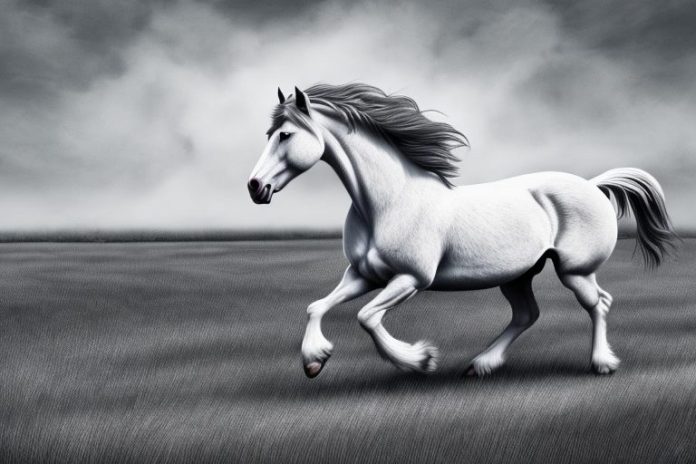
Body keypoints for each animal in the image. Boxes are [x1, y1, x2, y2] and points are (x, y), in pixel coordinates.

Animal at [247, 83, 676, 378]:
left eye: (285, 134)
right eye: (269, 135)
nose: (255, 187)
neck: (389, 202)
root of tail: (593, 184)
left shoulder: (411, 279)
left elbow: (367, 318)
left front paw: (421, 359)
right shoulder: (363, 275)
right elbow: (316, 306)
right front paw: (314, 361)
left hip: (575, 271)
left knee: (599, 304)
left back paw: (602, 363)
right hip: (517, 275)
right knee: (528, 314)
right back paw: (481, 364)